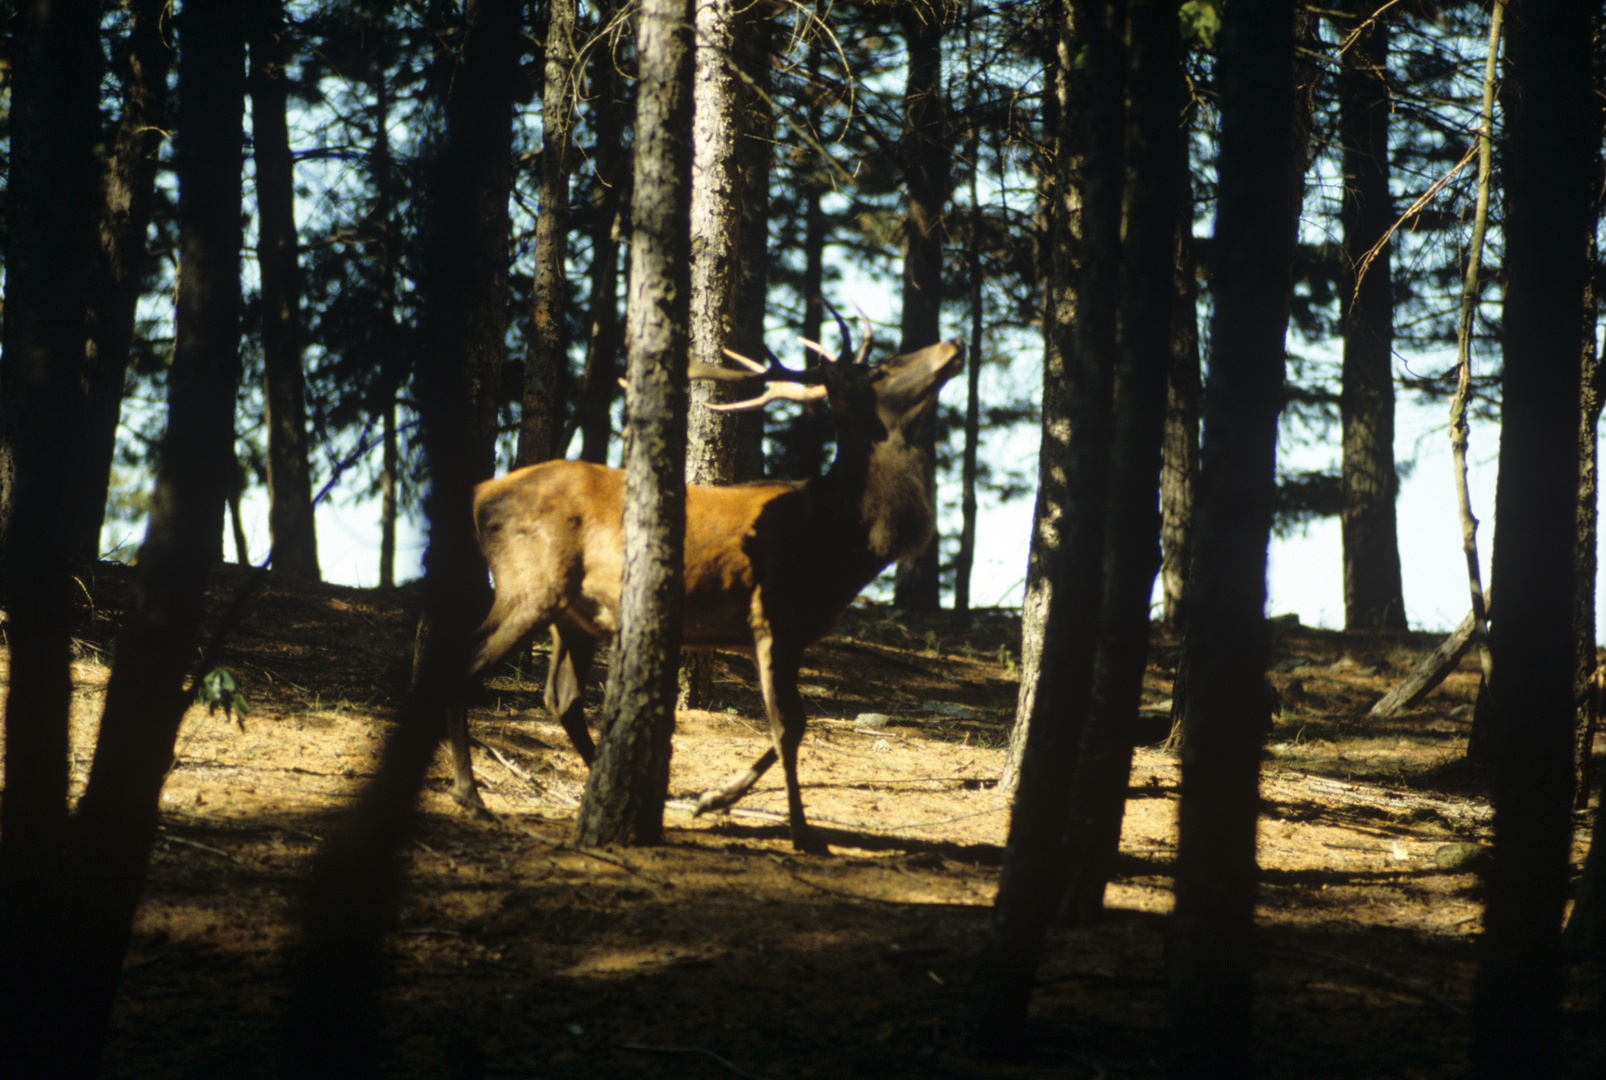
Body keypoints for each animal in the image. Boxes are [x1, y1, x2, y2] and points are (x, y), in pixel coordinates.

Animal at [446, 326, 957, 855]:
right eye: (880, 370)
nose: (952, 346)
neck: (843, 539)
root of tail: (480, 494)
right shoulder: (773, 620)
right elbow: (788, 726)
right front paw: (801, 833)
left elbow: (792, 726)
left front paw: (711, 800)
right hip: (530, 584)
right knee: (464, 663)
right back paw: (469, 793)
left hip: (575, 616)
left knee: (561, 698)